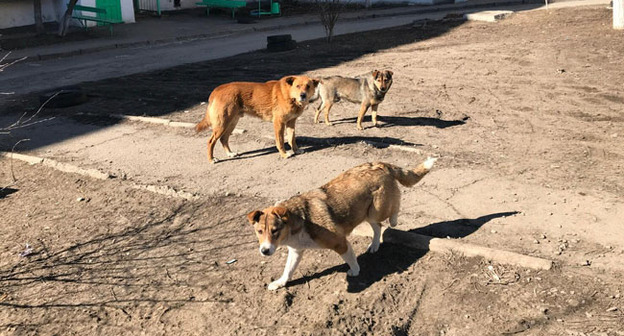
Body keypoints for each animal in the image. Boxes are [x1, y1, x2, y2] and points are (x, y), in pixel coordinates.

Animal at [246, 156, 436, 290]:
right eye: (259, 232)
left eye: (275, 230)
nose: (264, 251)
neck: (299, 219)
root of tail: (378, 164)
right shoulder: (296, 251)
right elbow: (288, 270)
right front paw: (280, 282)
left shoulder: (340, 243)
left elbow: (350, 259)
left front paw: (355, 271)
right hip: (368, 214)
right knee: (378, 227)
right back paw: (374, 245)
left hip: (378, 209)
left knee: (394, 209)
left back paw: (394, 220)